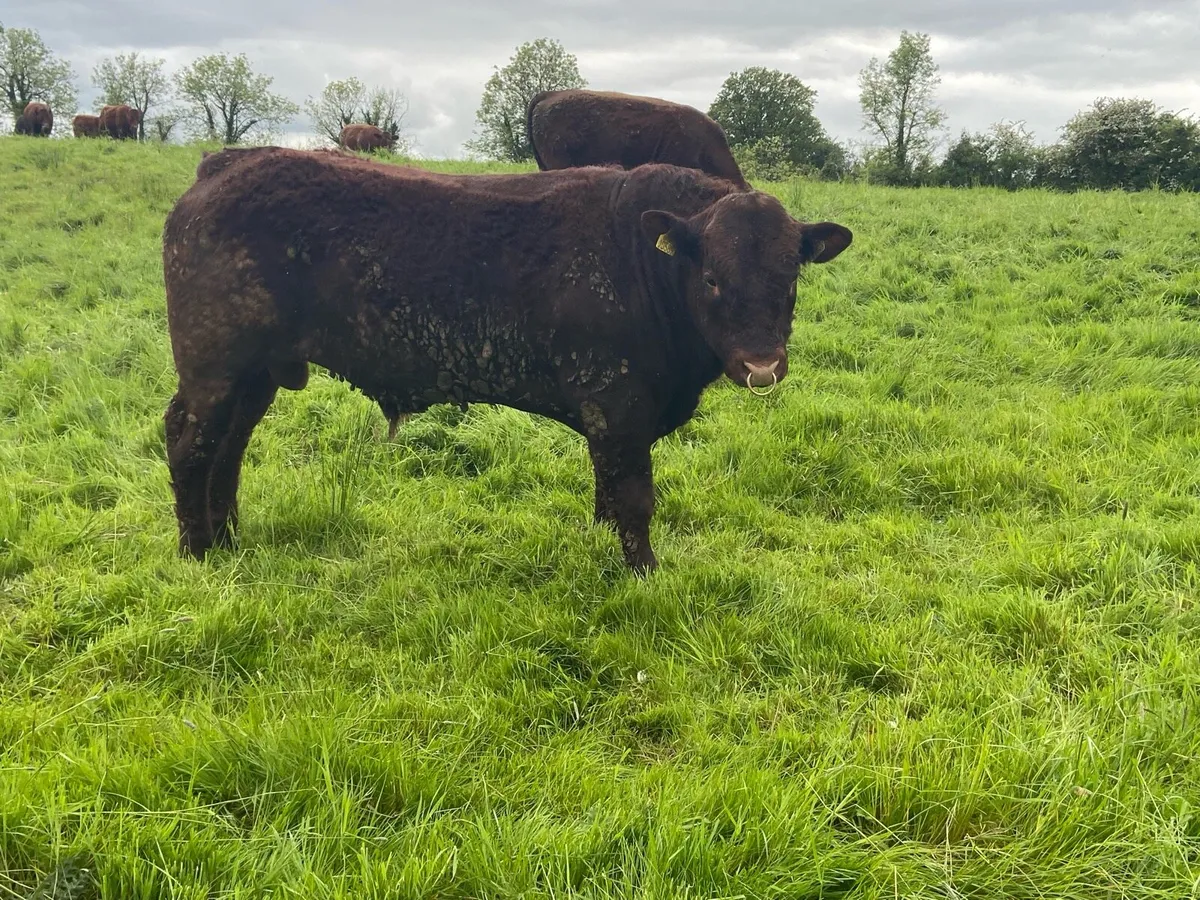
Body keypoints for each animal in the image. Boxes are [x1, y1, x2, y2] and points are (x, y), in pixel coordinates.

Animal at [161, 147, 852, 573]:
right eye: (711, 278)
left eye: (790, 278)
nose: (762, 367)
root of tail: (225, 163)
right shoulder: (618, 404)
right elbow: (633, 496)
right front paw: (644, 572)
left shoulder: (611, 417)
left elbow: (606, 492)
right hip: (213, 364)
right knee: (190, 441)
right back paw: (197, 552)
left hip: (254, 374)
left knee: (229, 447)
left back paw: (228, 539)